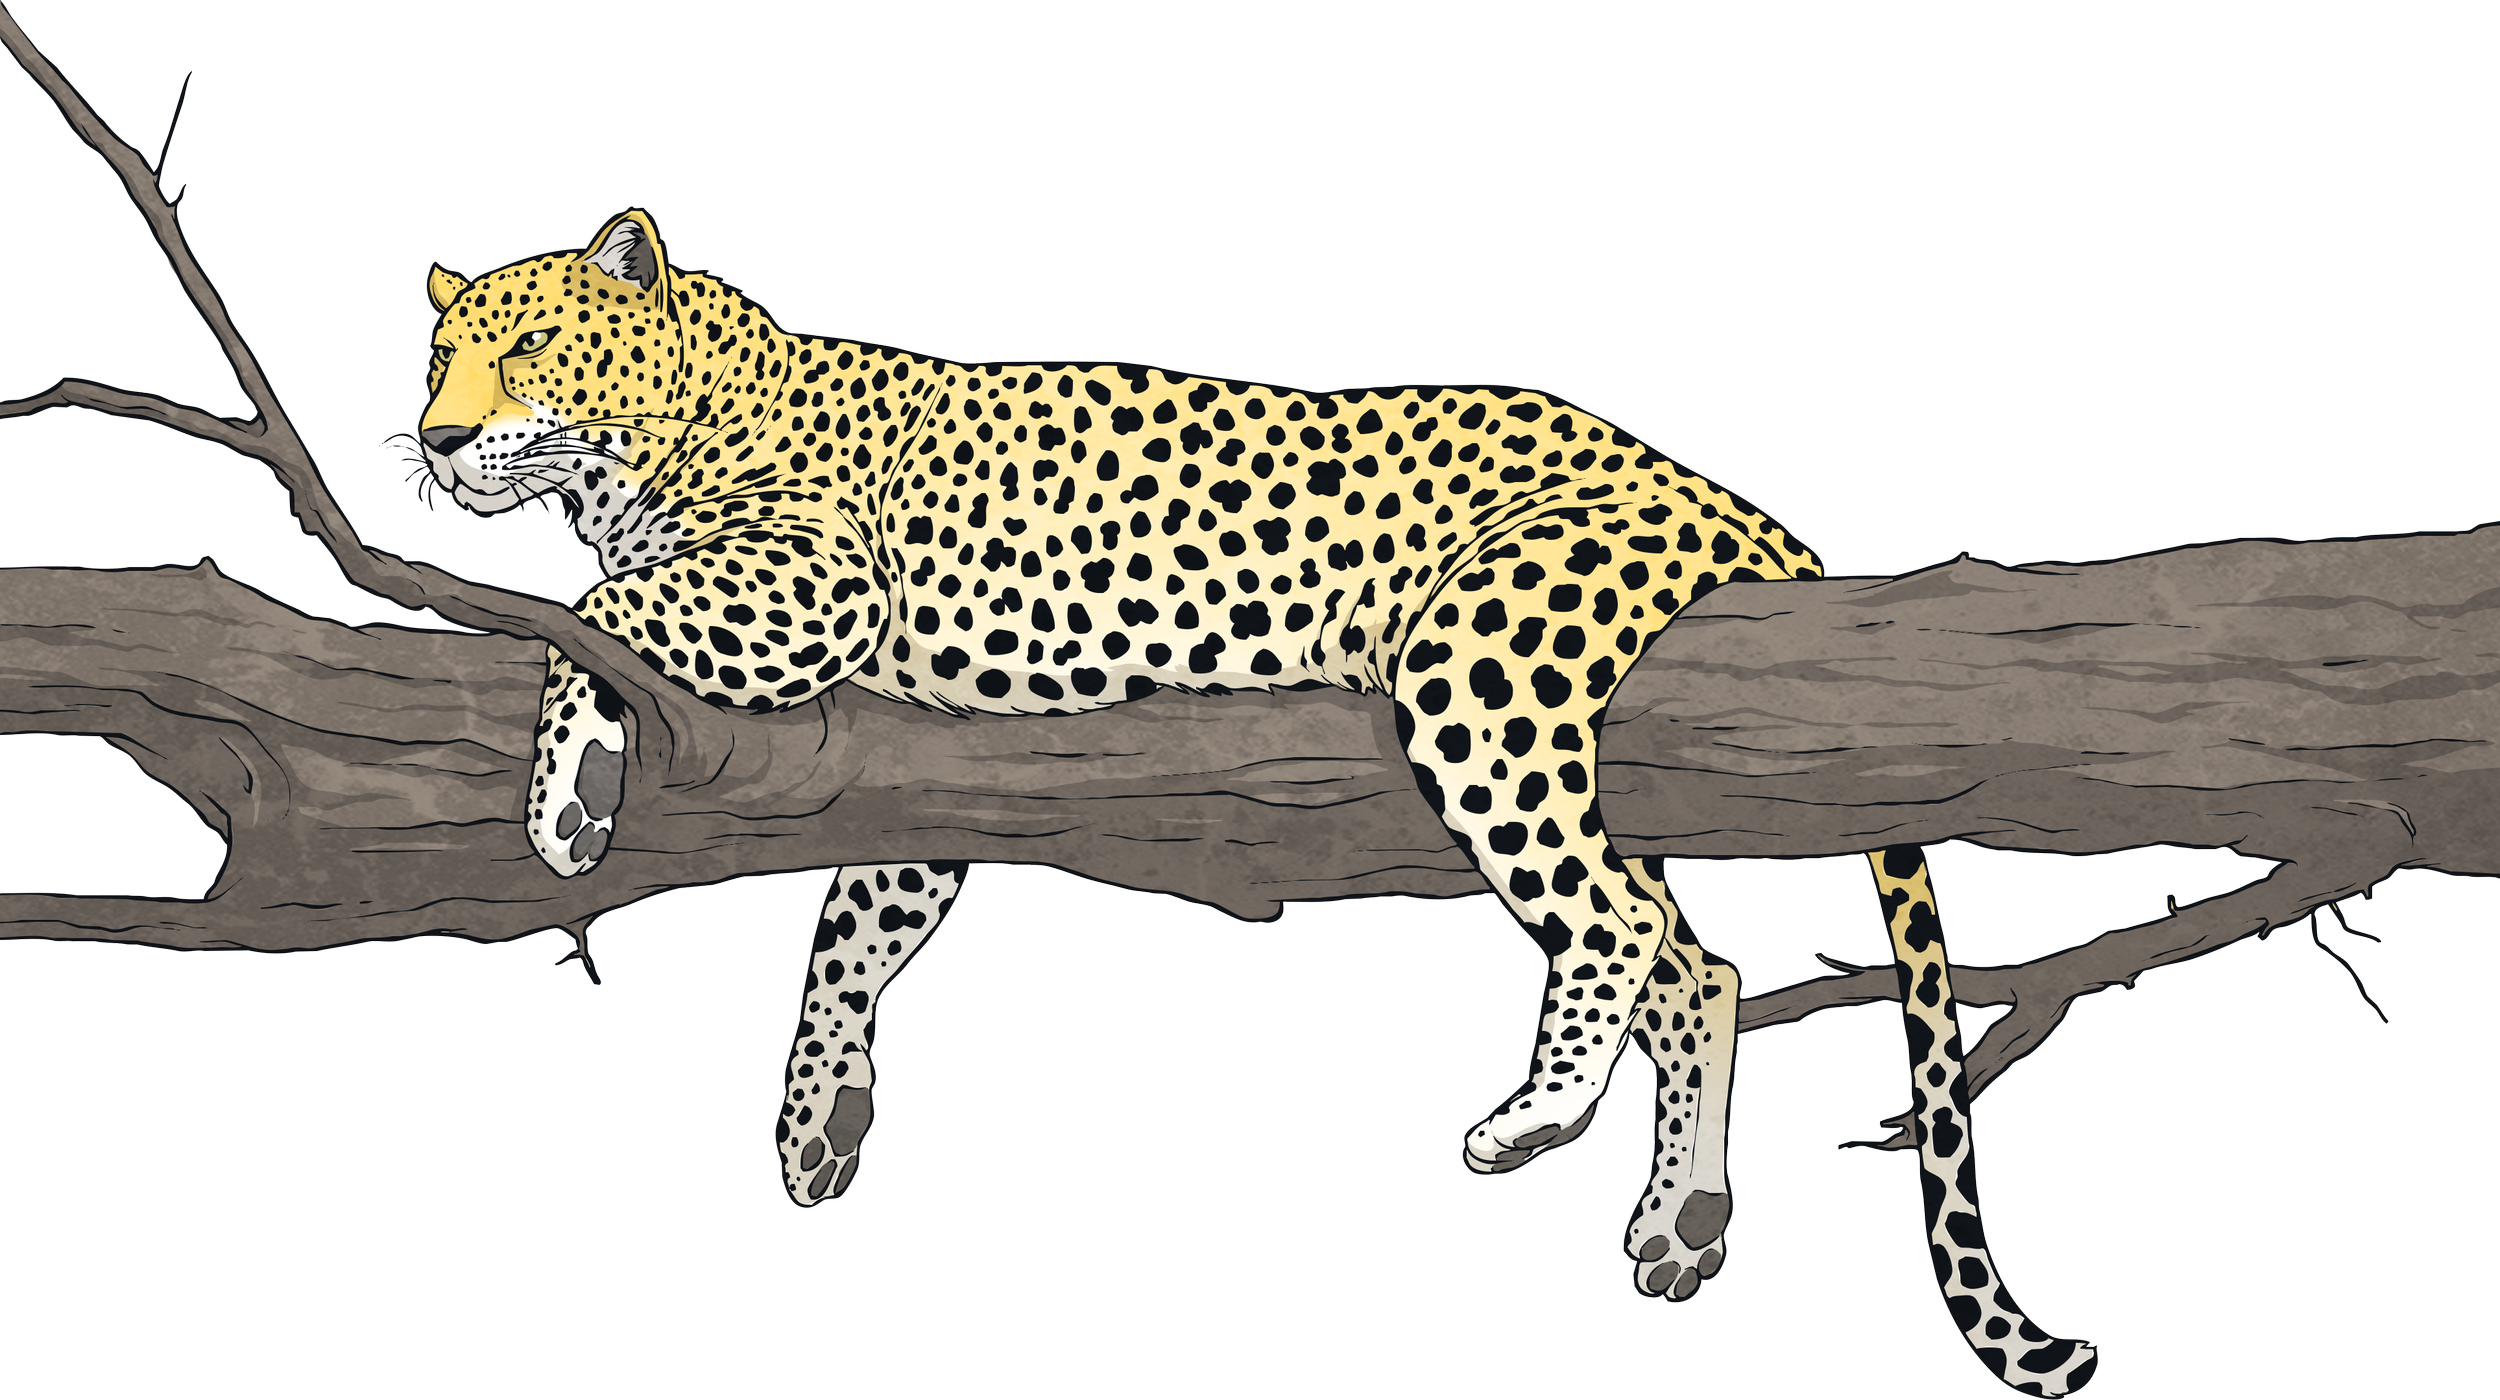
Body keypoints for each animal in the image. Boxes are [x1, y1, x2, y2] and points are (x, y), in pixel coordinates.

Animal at [414, 207, 2098, 1396]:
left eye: (537, 342)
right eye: (441, 357)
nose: (428, 437)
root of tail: (1720, 492)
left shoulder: (812, 577)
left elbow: (609, 622)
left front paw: (567, 795)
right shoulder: (920, 757)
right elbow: (850, 938)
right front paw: (819, 1118)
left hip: (1484, 662)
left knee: (1617, 923)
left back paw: (1538, 1115)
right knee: (1700, 967)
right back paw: (1680, 1217)